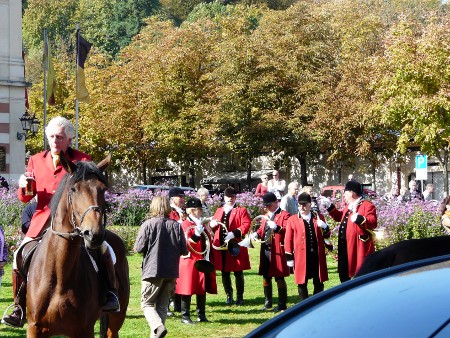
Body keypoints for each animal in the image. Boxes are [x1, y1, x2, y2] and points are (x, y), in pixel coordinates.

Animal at [24, 154, 129, 338]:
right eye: (74, 189)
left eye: (103, 189)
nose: (95, 235)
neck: (59, 277)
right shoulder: (34, 328)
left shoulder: (83, 329)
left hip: (117, 317)